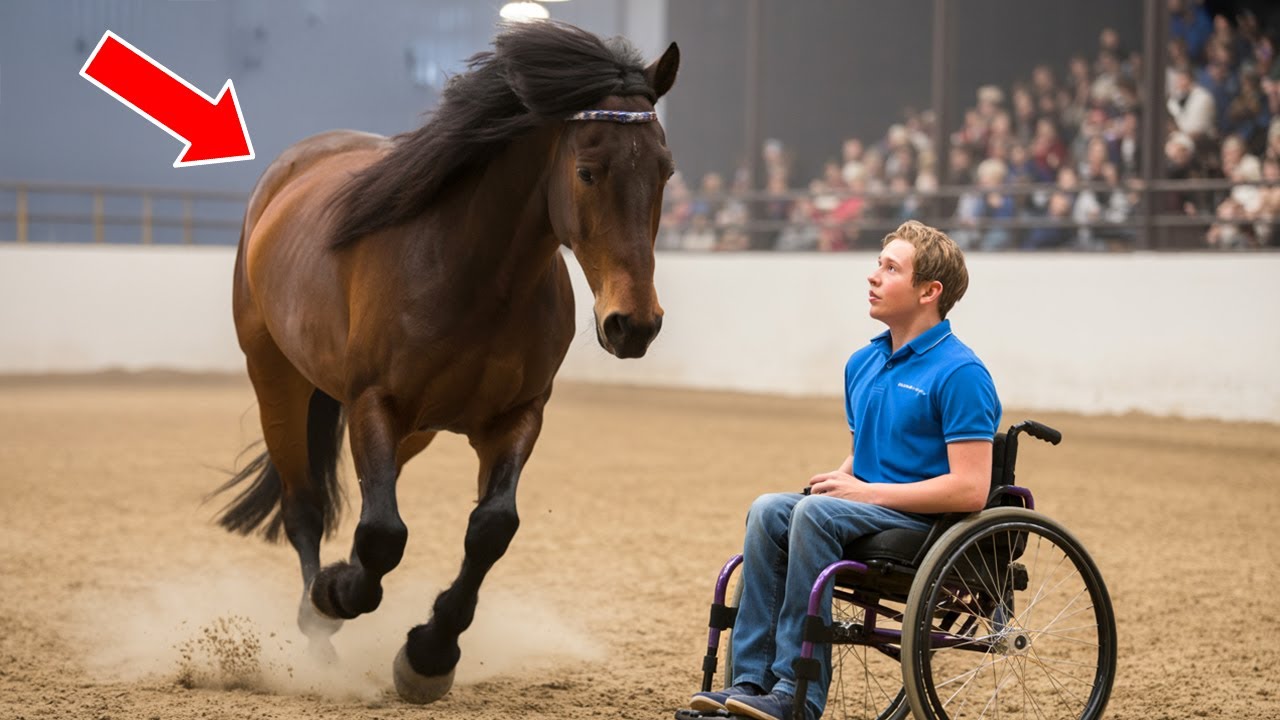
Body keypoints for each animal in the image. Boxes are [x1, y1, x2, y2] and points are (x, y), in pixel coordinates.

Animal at [213, 21, 679, 703]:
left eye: (666, 171)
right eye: (588, 171)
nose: (634, 324)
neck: (474, 274)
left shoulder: (516, 416)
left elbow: (490, 528)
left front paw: (430, 654)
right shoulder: (374, 403)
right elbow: (383, 536)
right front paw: (340, 596)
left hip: (417, 430)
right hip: (278, 380)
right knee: (306, 509)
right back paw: (319, 620)